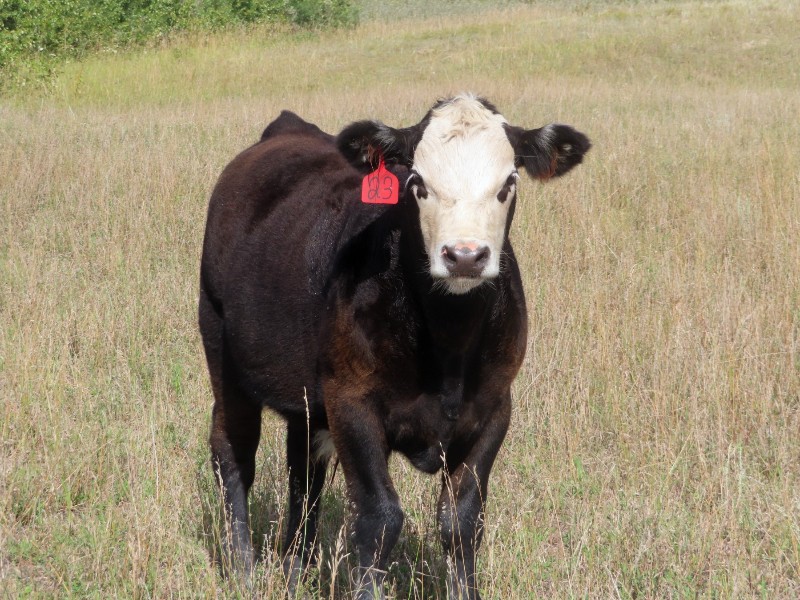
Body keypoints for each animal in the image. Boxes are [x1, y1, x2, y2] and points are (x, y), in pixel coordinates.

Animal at [199, 93, 590, 599]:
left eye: (509, 182)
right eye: (416, 182)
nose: (465, 256)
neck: (449, 344)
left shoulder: (495, 408)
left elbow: (462, 520)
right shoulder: (352, 403)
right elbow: (379, 518)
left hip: (307, 395)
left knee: (304, 471)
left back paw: (296, 567)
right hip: (222, 351)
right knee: (233, 452)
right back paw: (243, 568)